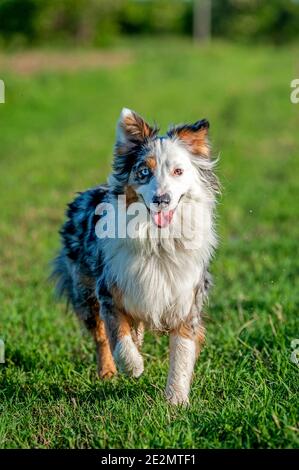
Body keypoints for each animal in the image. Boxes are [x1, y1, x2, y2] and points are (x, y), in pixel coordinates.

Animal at [52, 109, 220, 404]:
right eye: (144, 172)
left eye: (178, 171)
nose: (162, 199)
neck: (158, 241)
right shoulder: (109, 290)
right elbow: (118, 337)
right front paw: (133, 366)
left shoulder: (186, 300)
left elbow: (181, 354)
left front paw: (176, 401)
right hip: (83, 291)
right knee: (100, 336)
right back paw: (108, 372)